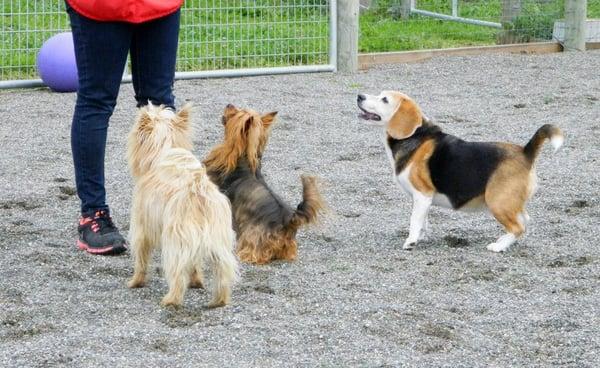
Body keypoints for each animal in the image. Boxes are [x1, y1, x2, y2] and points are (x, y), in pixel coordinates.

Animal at [358, 91, 564, 253]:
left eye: (384, 99)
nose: (359, 96)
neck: (415, 136)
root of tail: (525, 152)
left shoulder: (422, 195)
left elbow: (415, 220)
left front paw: (411, 241)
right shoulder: (422, 200)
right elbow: (423, 220)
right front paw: (420, 237)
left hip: (497, 202)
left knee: (518, 227)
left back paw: (498, 246)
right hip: (510, 202)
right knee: (524, 221)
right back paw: (503, 241)